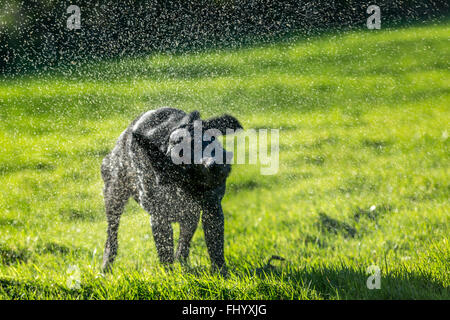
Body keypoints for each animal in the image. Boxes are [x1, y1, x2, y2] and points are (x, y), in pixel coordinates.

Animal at [101, 107, 243, 276]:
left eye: (206, 141)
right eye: (186, 160)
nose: (212, 165)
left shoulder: (212, 210)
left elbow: (215, 247)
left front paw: (221, 273)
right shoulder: (159, 218)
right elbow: (165, 253)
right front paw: (169, 276)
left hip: (190, 217)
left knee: (184, 244)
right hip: (114, 198)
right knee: (111, 237)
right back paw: (106, 265)